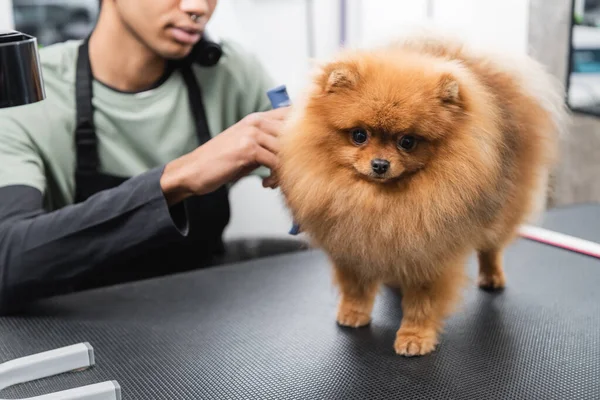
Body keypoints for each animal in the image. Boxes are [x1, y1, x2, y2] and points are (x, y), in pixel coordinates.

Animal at [276, 30, 568, 356]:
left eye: (407, 141)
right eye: (359, 135)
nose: (380, 164)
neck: (382, 201)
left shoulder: (429, 255)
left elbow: (422, 302)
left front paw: (415, 338)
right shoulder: (350, 247)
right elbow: (356, 287)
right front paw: (353, 313)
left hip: (502, 211)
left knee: (491, 247)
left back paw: (492, 276)